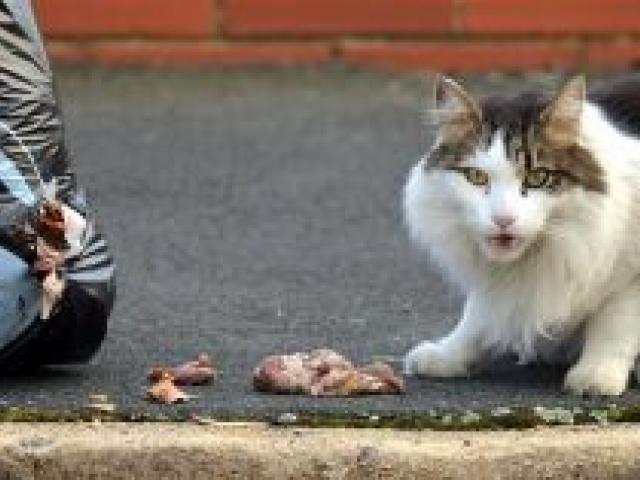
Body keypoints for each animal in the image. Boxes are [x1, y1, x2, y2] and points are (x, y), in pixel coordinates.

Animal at [404, 75, 640, 396]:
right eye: (476, 177)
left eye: (538, 177)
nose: (503, 220)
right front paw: (448, 355)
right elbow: (475, 316)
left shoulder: (630, 278)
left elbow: (615, 323)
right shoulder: (498, 286)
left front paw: (596, 373)